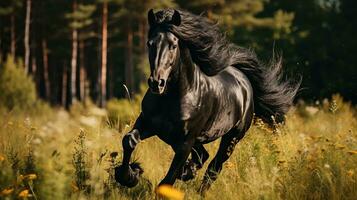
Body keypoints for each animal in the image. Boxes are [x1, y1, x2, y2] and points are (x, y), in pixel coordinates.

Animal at [115, 8, 298, 195]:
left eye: (173, 45)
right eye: (149, 43)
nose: (156, 83)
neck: (175, 97)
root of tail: (244, 79)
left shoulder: (185, 142)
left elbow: (166, 182)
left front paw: (135, 174)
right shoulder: (148, 123)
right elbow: (129, 140)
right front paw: (128, 176)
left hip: (232, 138)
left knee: (214, 167)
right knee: (203, 157)